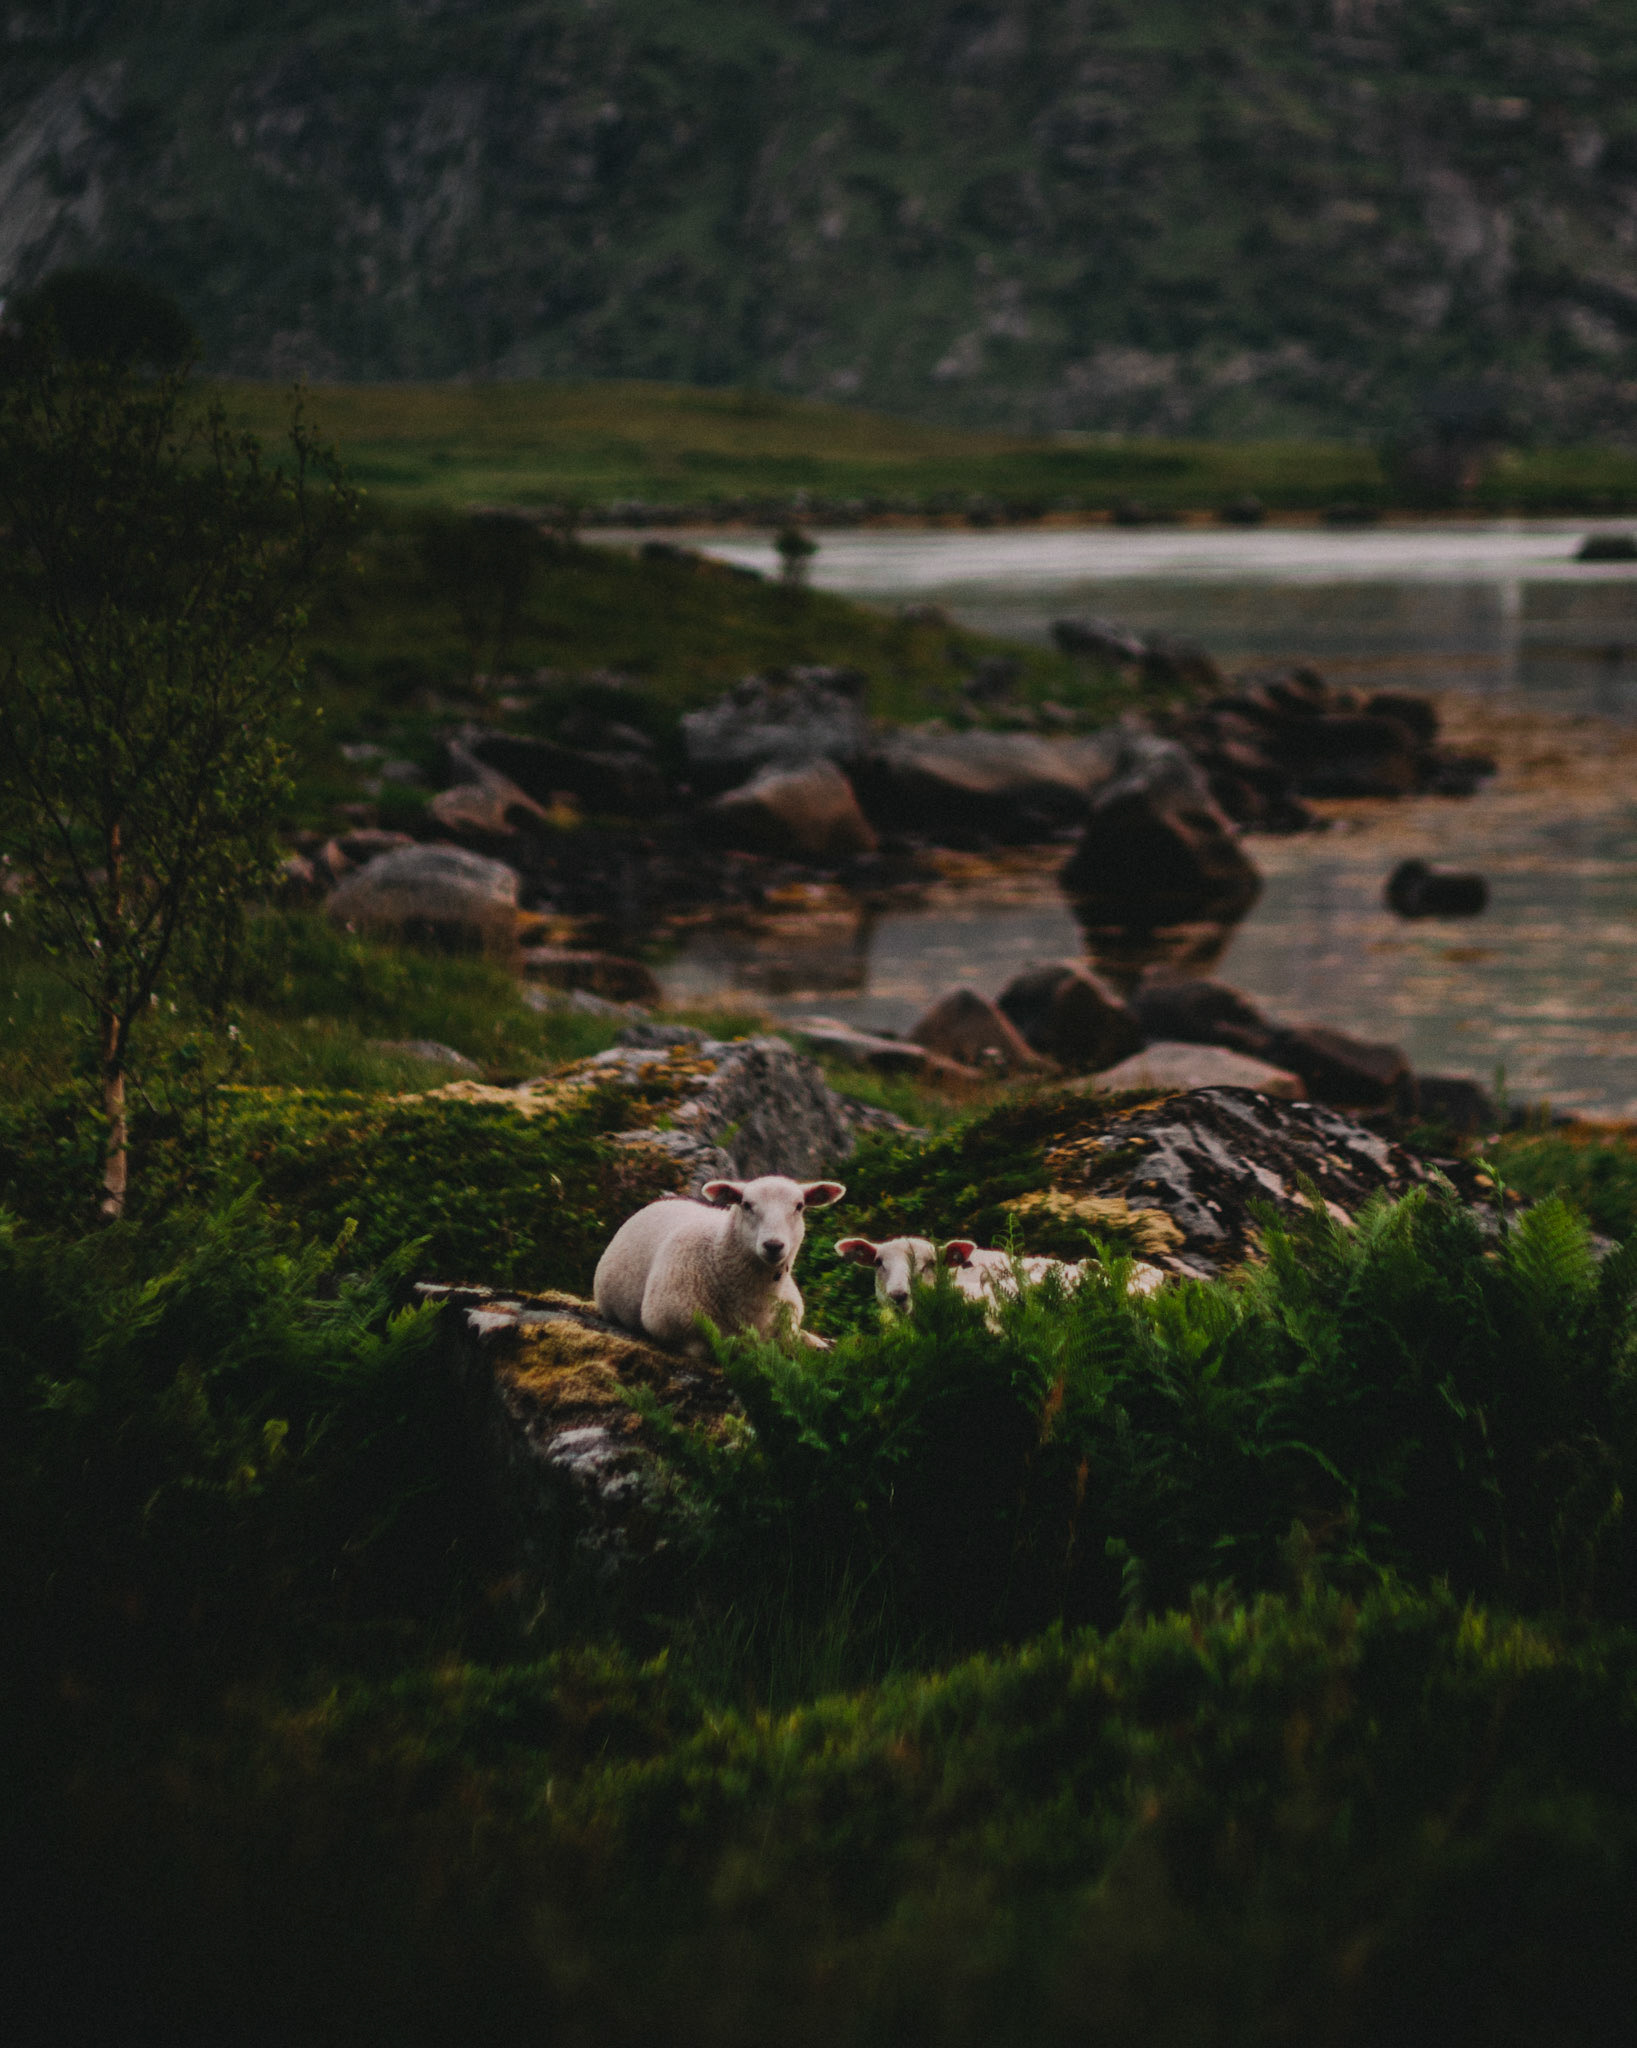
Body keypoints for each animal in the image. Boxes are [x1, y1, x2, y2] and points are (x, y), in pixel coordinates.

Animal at [594, 1175, 845, 1356]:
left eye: (799, 1206)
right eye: (746, 1205)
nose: (773, 1245)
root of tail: (665, 1200)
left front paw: (817, 1341)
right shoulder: (673, 1327)